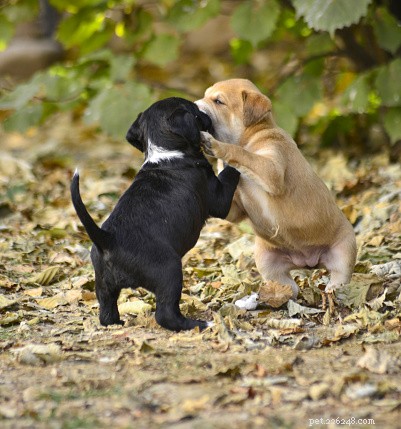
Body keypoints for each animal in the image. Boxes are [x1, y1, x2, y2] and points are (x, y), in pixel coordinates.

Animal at [70, 97, 239, 332]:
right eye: (196, 113)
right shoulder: (218, 200)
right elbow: (230, 174)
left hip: (103, 284)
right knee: (165, 314)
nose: (208, 116)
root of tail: (108, 240)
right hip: (170, 271)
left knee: (106, 311)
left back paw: (115, 322)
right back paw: (196, 323)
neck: (166, 153)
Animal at [195, 77, 354, 298]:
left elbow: (243, 154)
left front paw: (216, 145)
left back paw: (334, 289)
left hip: (344, 250)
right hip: (266, 260)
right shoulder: (235, 208)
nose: (193, 106)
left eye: (218, 101)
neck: (252, 136)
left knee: (341, 274)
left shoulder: (270, 169)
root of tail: (308, 261)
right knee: (289, 285)